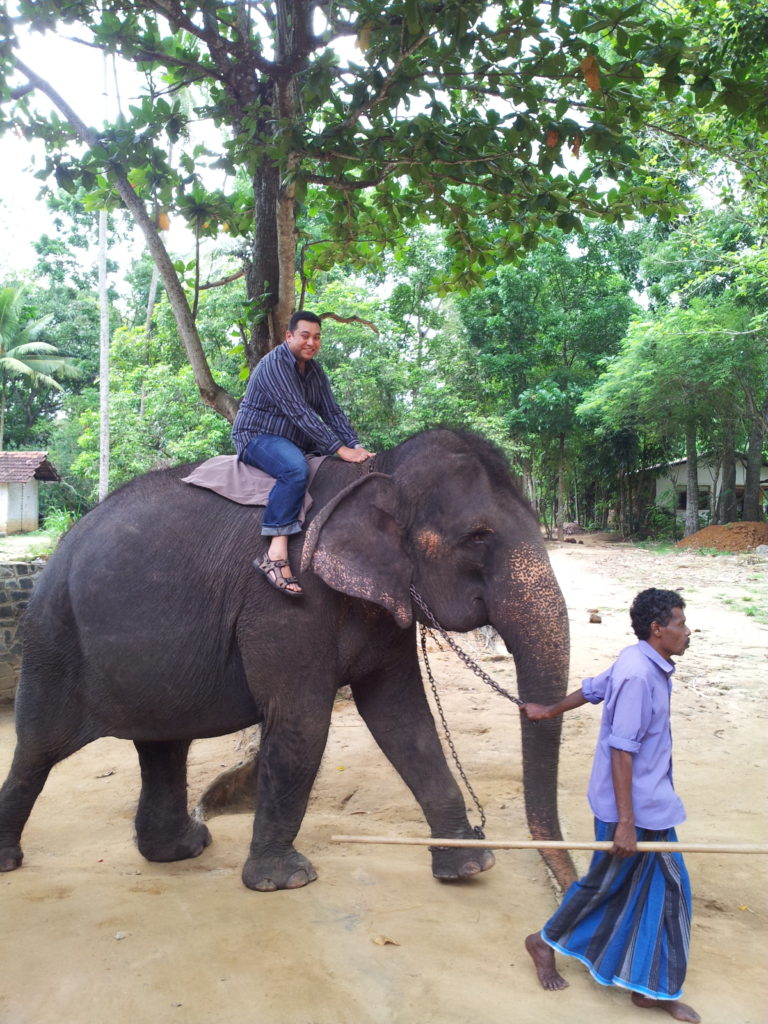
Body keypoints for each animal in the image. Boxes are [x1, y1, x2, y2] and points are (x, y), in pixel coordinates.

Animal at [0, 428, 577, 892]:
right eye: (478, 537)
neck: (378, 469)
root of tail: (57, 550)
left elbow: (402, 717)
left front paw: (469, 865)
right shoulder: (285, 599)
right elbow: (302, 722)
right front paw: (284, 881)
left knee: (163, 746)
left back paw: (183, 848)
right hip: (51, 641)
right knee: (37, 749)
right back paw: (11, 861)